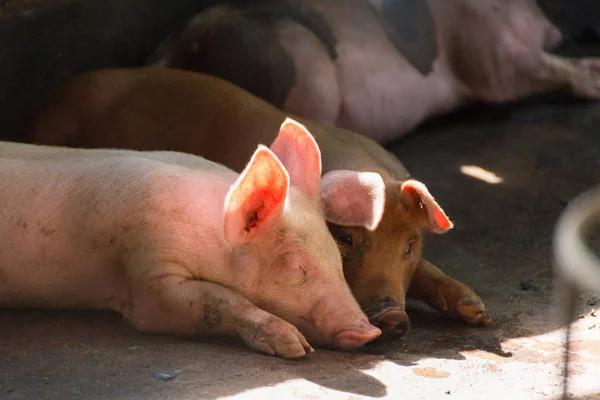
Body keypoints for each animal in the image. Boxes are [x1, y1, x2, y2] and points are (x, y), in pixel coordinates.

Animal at [0, 119, 384, 360]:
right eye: (295, 266)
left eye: (336, 257)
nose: (370, 331)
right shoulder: (148, 269)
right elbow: (211, 300)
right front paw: (295, 347)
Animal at [148, 0, 600, 144]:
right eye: (532, 3)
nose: (556, 30)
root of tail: (175, 50)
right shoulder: (486, 51)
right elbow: (515, 73)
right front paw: (595, 75)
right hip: (298, 71)